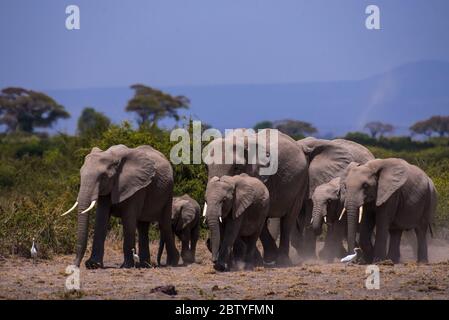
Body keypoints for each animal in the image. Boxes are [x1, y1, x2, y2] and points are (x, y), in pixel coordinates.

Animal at [205, 128, 306, 264]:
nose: (208, 243)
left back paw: (280, 261)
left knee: (287, 220)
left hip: (301, 184)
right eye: (206, 167)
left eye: (237, 168)